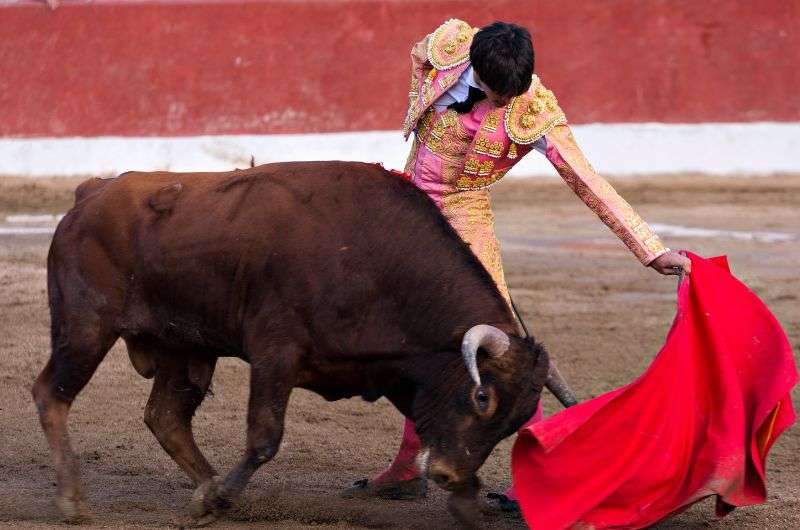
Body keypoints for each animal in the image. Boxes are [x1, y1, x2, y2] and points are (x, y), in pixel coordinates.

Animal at [32, 160, 576, 524]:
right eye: (483, 397)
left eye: (518, 421)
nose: (445, 474)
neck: (373, 258)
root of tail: (90, 193)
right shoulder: (276, 353)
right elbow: (265, 436)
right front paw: (222, 495)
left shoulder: (399, 369)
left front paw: (466, 501)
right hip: (85, 328)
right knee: (52, 395)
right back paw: (75, 501)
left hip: (184, 348)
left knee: (165, 416)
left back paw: (207, 489)